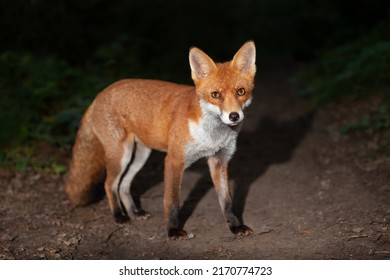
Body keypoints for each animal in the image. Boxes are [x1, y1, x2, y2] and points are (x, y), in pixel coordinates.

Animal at [65, 41, 256, 238]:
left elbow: (227, 201)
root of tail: (98, 95)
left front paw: (235, 226)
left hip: (140, 155)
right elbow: (171, 201)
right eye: (216, 94)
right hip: (121, 156)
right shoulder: (174, 160)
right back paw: (119, 215)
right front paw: (173, 230)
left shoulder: (219, 160)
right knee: (109, 184)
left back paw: (135, 212)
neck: (212, 135)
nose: (234, 116)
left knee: (124, 185)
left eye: (241, 91)